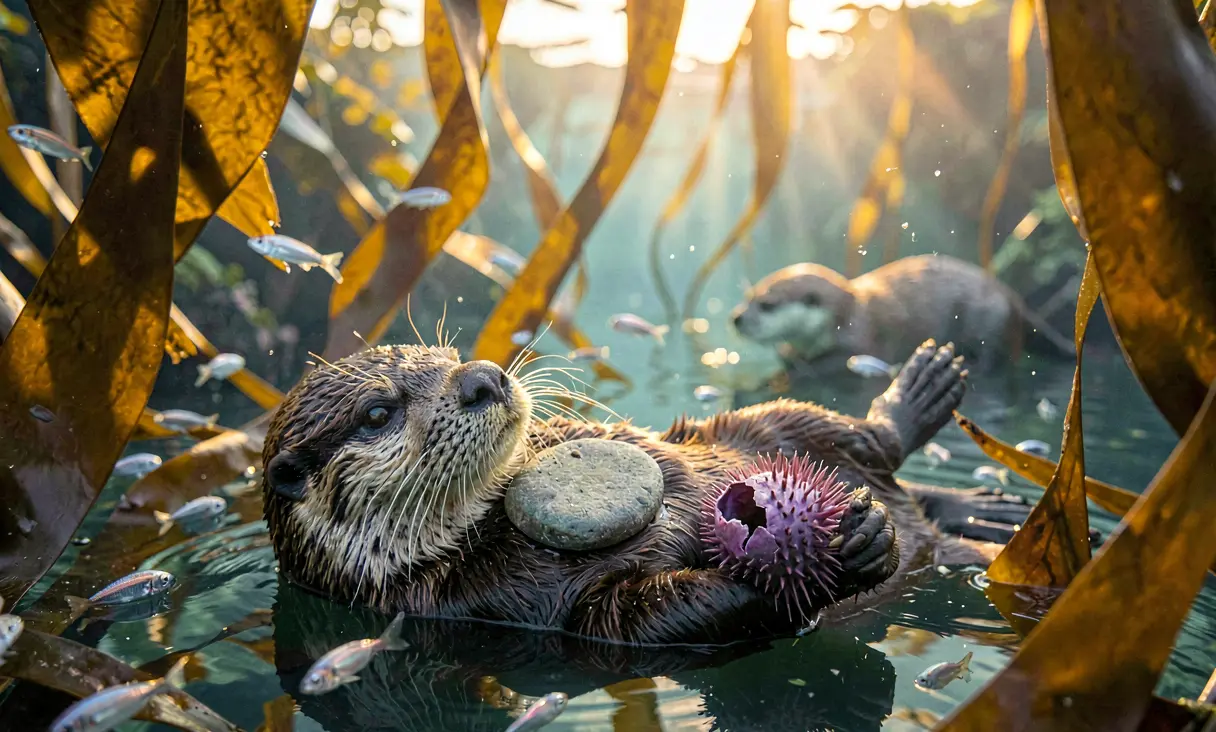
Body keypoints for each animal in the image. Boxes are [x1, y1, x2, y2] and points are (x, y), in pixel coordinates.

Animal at [261, 340, 1030, 645]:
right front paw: (846, 556)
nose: (482, 376)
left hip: (762, 426)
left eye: (448, 357)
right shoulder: (492, 603)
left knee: (854, 435)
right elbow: (657, 615)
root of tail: (929, 537)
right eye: (378, 412)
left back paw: (924, 402)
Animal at [730, 254, 1075, 372]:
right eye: (748, 296)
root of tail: (1008, 292)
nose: (737, 318)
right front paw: (789, 357)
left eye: (767, 304)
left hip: (984, 318)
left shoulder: (862, 339)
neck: (844, 316)